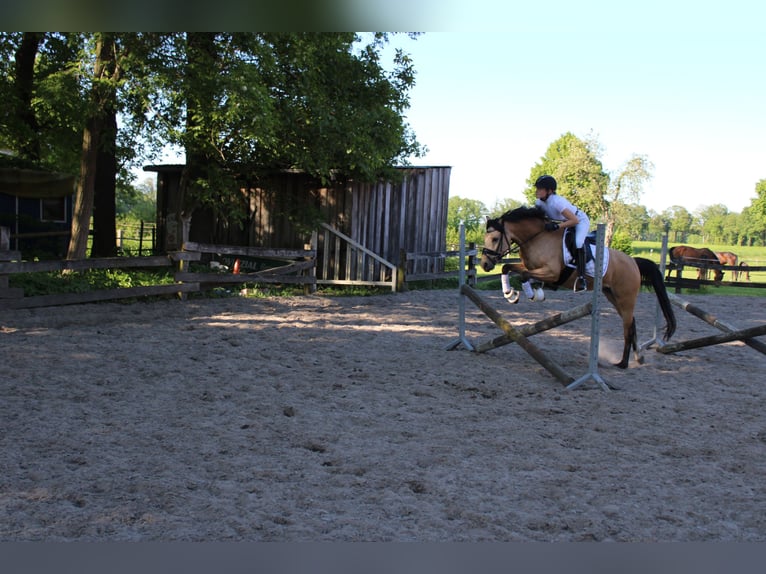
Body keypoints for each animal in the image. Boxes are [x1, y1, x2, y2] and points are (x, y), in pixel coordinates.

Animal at [484, 209, 676, 372]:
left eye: (495, 239)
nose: (485, 265)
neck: (537, 238)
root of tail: (633, 262)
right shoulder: (531, 268)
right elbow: (508, 268)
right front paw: (510, 294)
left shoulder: (552, 273)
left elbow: (524, 275)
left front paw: (533, 294)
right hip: (612, 296)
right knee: (631, 323)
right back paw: (637, 357)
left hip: (625, 298)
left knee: (628, 327)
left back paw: (622, 363)